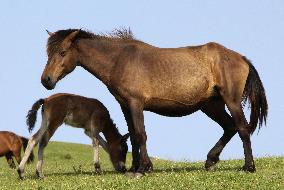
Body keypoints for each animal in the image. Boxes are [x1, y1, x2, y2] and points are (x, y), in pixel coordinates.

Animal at [40, 29, 268, 176]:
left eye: (62, 52)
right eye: (48, 53)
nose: (46, 80)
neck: (119, 60)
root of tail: (241, 58)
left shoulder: (136, 104)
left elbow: (141, 135)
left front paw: (143, 168)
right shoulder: (125, 105)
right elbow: (133, 136)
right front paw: (134, 168)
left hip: (231, 101)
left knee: (242, 128)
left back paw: (249, 167)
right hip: (211, 105)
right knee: (230, 127)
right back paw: (210, 160)